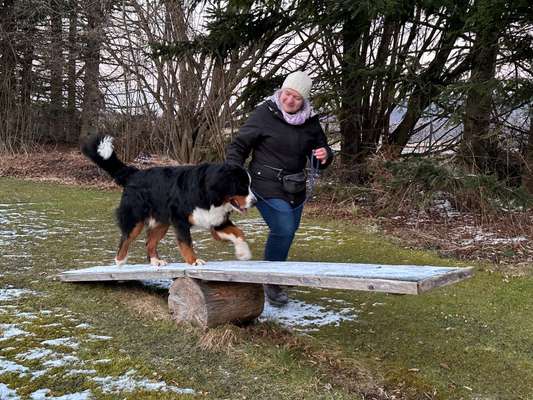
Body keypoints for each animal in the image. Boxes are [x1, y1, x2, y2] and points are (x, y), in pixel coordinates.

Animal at [81, 134, 256, 266]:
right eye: (242, 186)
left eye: (249, 185)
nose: (255, 202)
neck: (209, 194)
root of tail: (135, 173)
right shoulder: (180, 220)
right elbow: (186, 243)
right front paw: (194, 261)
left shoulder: (217, 221)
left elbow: (239, 233)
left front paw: (243, 253)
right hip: (135, 219)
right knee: (126, 238)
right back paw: (120, 261)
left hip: (162, 223)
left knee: (150, 242)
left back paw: (155, 261)